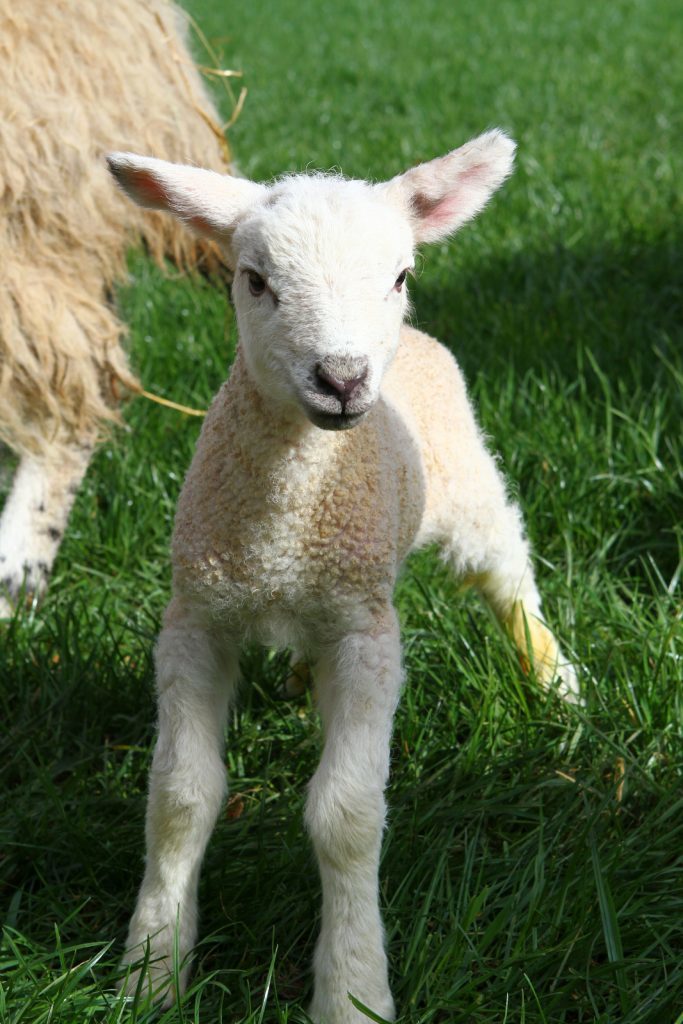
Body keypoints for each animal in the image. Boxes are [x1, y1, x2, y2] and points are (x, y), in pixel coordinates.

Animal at [109, 130, 581, 1024]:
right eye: (253, 279)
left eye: (398, 276)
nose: (341, 379)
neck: (287, 522)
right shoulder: (195, 618)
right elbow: (180, 797)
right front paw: (150, 969)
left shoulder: (367, 636)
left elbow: (346, 814)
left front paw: (353, 988)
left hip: (467, 491)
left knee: (509, 574)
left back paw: (554, 677)